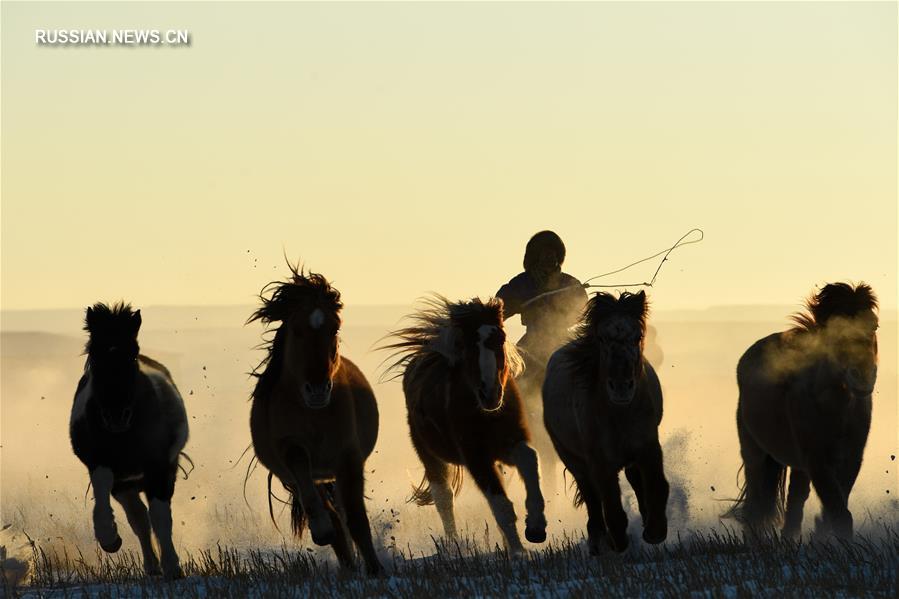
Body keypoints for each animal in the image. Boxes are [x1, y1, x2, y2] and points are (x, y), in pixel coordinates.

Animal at [70, 304, 190, 580]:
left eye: (131, 355)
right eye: (95, 355)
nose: (116, 416)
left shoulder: (159, 467)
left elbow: (161, 518)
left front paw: (173, 567)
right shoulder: (103, 464)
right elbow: (103, 493)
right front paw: (109, 538)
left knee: (149, 518)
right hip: (126, 484)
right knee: (139, 520)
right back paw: (151, 566)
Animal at [250, 268, 384, 576]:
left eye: (334, 328)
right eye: (296, 329)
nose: (318, 389)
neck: (314, 413)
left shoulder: (348, 457)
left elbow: (356, 519)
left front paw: (376, 571)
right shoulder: (292, 452)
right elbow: (313, 496)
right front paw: (321, 530)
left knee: (344, 515)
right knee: (330, 513)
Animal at [382, 298, 548, 556]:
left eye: (500, 338)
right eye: (468, 345)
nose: (490, 393)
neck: (486, 414)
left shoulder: (510, 443)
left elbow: (530, 460)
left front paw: (536, 527)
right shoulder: (476, 457)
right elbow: (501, 506)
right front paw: (518, 551)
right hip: (429, 454)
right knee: (444, 499)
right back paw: (453, 546)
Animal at [540, 290, 668, 552]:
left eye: (638, 336)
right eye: (601, 338)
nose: (621, 387)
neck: (619, 415)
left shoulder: (647, 447)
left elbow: (656, 486)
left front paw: (655, 531)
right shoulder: (600, 461)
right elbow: (611, 505)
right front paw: (617, 541)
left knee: (634, 481)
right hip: (573, 459)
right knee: (591, 495)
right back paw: (598, 540)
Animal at [724, 284, 880, 540]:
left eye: (874, 324)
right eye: (834, 330)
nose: (863, 376)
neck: (836, 406)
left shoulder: (852, 457)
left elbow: (837, 504)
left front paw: (822, 531)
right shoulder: (816, 459)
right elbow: (838, 510)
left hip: (796, 463)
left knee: (795, 499)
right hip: (755, 452)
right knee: (756, 503)